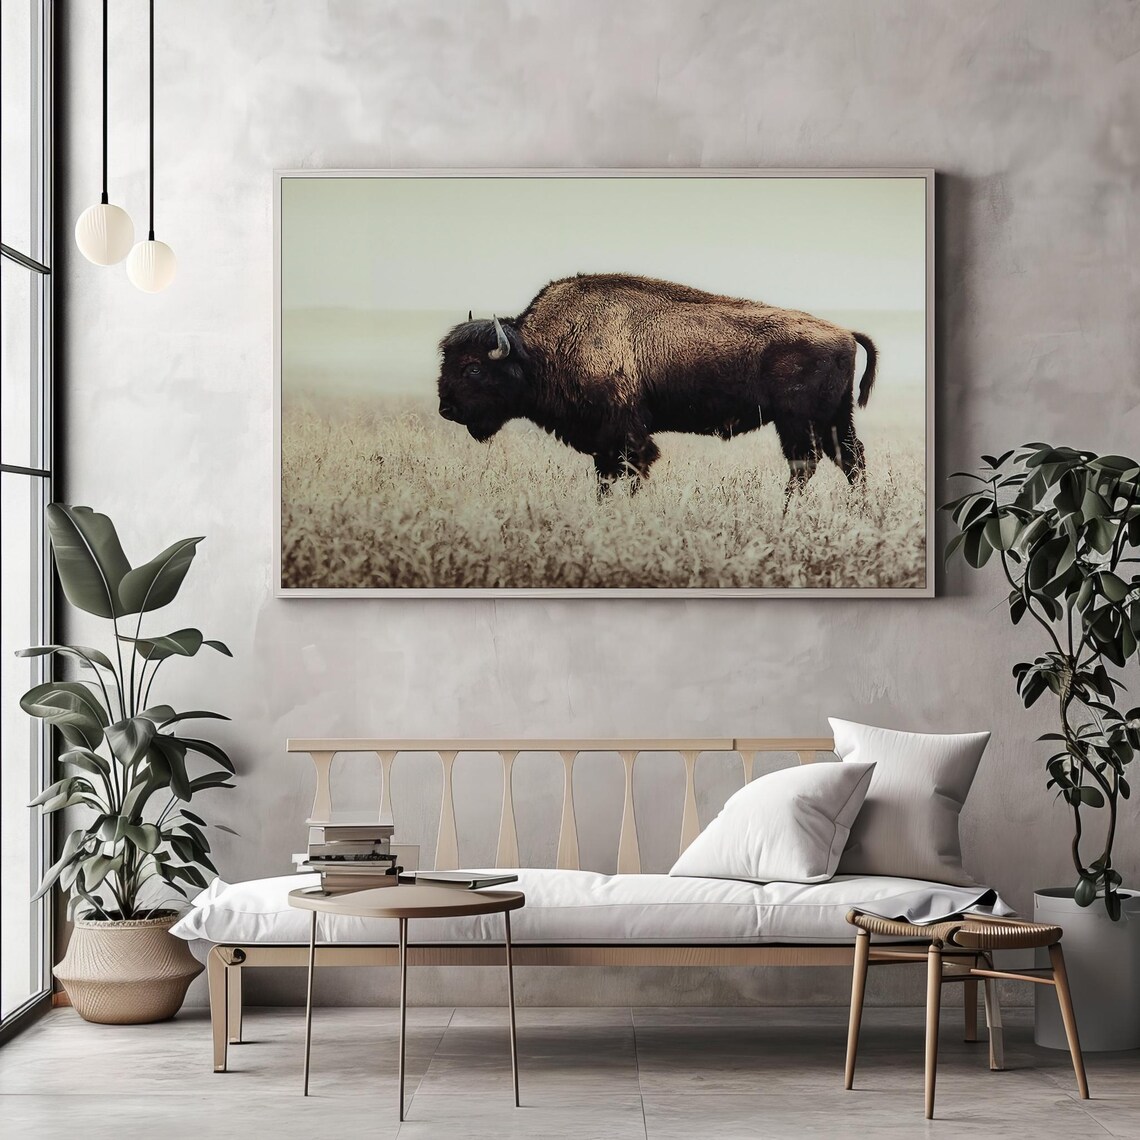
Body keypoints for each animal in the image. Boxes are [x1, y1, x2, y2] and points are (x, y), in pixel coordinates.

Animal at [437, 273, 877, 501]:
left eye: (474, 368)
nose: (447, 409)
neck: (539, 348)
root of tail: (844, 332)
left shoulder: (625, 434)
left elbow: (630, 471)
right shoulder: (605, 441)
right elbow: (606, 477)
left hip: (798, 421)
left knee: (807, 463)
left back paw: (786, 512)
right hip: (834, 418)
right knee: (849, 459)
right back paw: (858, 511)